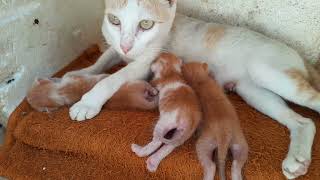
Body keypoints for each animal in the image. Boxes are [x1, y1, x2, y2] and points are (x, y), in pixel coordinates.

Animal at [66, 0, 318, 179]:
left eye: (146, 24)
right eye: (114, 20)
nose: (127, 46)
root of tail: (296, 53)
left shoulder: (145, 62)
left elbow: (112, 79)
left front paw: (88, 102)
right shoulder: (117, 49)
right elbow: (102, 59)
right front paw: (78, 73)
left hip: (268, 72)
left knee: (313, 101)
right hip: (254, 91)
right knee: (304, 122)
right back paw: (297, 159)